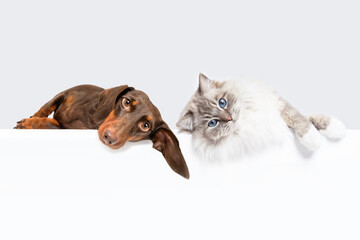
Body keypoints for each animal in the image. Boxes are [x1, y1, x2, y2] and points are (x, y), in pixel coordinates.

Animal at [15, 84, 190, 178]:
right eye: (126, 102)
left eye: (146, 126)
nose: (109, 138)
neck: (90, 117)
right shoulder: (64, 94)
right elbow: (45, 108)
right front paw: (30, 120)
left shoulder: (66, 128)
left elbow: (53, 123)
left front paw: (31, 123)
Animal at [177, 73, 346, 159]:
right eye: (212, 123)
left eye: (222, 103)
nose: (230, 118)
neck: (249, 118)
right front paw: (315, 140)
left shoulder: (278, 107)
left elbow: (302, 118)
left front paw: (334, 128)